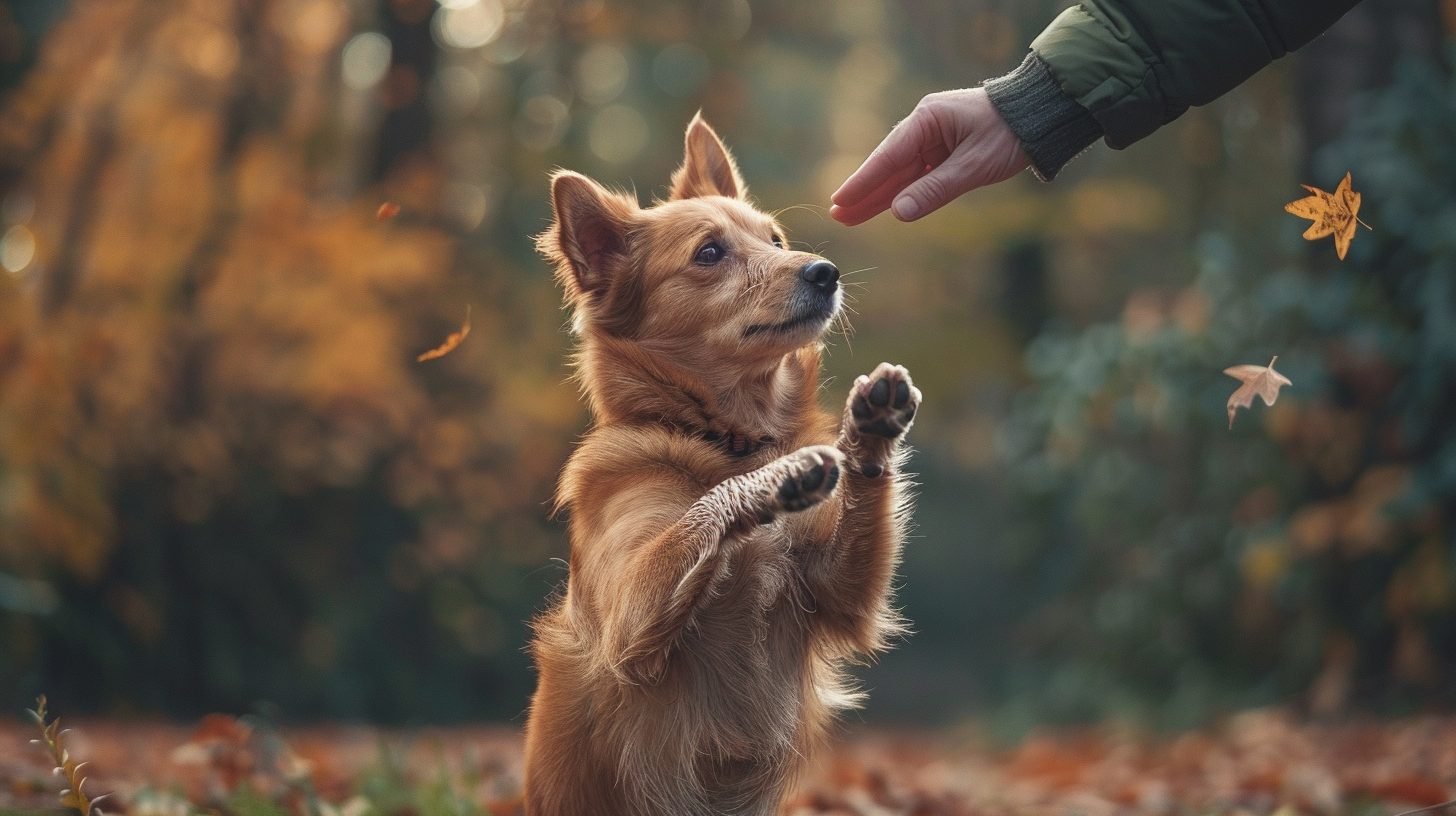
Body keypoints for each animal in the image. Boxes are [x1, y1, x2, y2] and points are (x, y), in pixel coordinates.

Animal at [527, 115, 920, 816]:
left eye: (775, 239)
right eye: (709, 253)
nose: (825, 271)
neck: (725, 439)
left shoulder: (840, 591)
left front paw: (868, 434)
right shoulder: (630, 616)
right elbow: (704, 512)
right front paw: (775, 480)